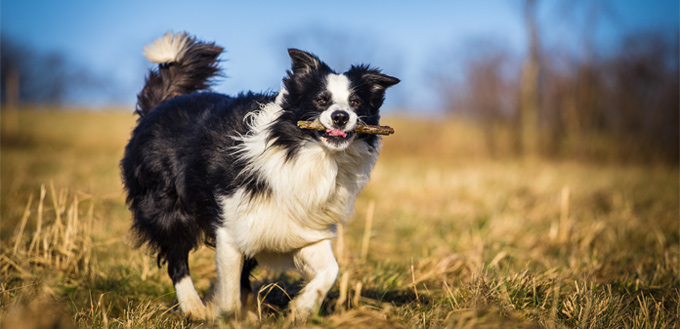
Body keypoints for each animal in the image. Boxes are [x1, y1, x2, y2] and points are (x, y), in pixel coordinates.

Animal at [121, 32, 398, 320]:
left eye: (355, 102)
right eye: (321, 100)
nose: (341, 117)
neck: (309, 154)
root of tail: (162, 104)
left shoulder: (301, 226)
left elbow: (330, 271)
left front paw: (301, 308)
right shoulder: (230, 226)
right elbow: (229, 294)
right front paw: (228, 318)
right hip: (168, 209)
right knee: (176, 259)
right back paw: (194, 308)